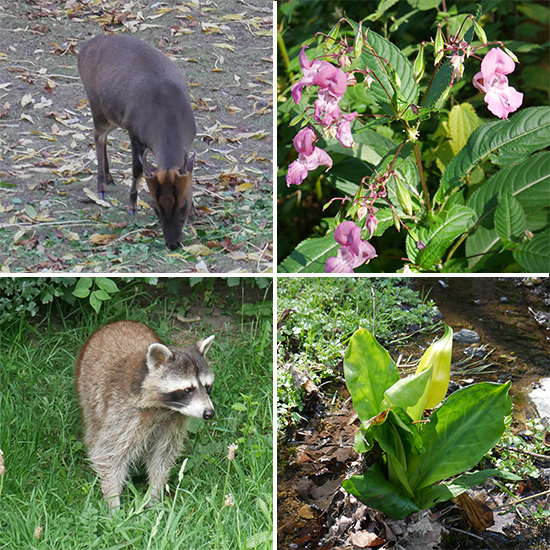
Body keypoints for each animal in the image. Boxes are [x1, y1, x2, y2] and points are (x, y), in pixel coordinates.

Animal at [75, 324, 216, 508]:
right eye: (188, 390)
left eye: (207, 387)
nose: (209, 413)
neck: (165, 409)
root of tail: (115, 323)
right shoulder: (124, 415)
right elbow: (109, 455)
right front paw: (113, 501)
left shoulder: (173, 421)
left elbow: (162, 456)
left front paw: (154, 494)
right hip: (88, 392)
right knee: (94, 427)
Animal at [77, 35, 198, 250]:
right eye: (156, 209)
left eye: (183, 207)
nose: (172, 243)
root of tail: (83, 48)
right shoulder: (134, 133)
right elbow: (137, 169)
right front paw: (132, 206)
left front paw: (195, 210)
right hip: (96, 105)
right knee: (98, 136)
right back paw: (101, 187)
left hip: (113, 115)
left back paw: (109, 177)